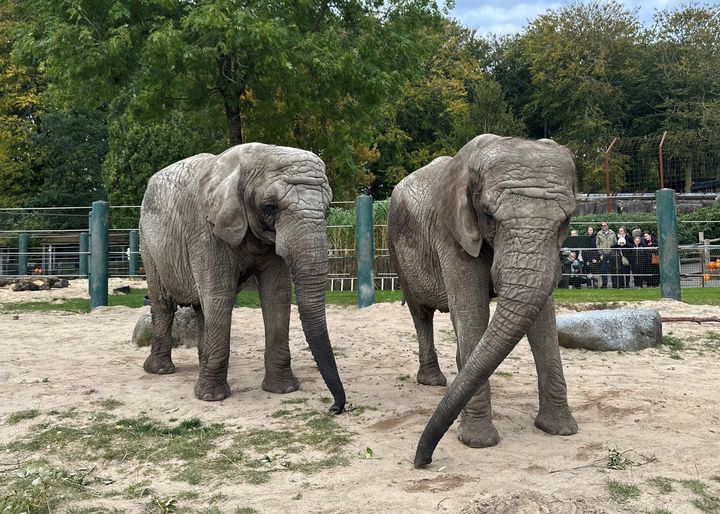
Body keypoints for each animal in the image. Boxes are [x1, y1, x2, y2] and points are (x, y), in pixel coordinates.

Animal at [140, 141, 346, 412]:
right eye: (270, 207)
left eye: (326, 209)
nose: (334, 408)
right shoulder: (205, 229)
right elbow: (221, 296)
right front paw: (211, 397)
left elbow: (276, 295)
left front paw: (283, 390)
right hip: (148, 242)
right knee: (164, 303)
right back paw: (160, 371)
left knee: (202, 307)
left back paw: (200, 364)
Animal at [388, 132, 580, 464]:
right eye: (489, 215)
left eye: (566, 220)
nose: (421, 460)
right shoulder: (451, 232)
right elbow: (472, 311)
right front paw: (477, 441)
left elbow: (542, 318)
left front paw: (560, 430)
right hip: (395, 246)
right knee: (421, 313)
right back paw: (434, 381)